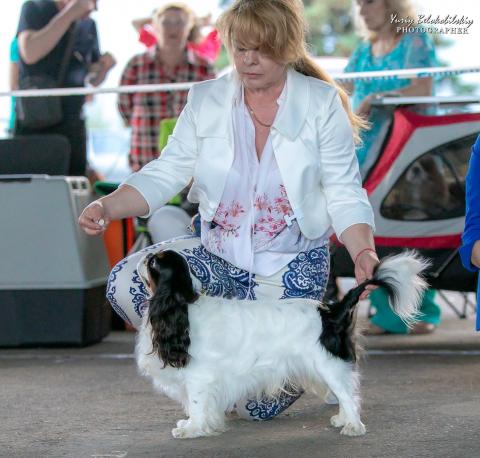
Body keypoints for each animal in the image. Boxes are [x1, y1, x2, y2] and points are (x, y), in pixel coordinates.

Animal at [135, 250, 428, 440]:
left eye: (154, 263)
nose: (143, 257)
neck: (182, 304)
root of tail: (331, 310)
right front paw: (199, 425)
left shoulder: (200, 377)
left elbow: (196, 404)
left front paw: (191, 429)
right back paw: (343, 419)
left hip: (327, 366)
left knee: (348, 395)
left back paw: (354, 426)